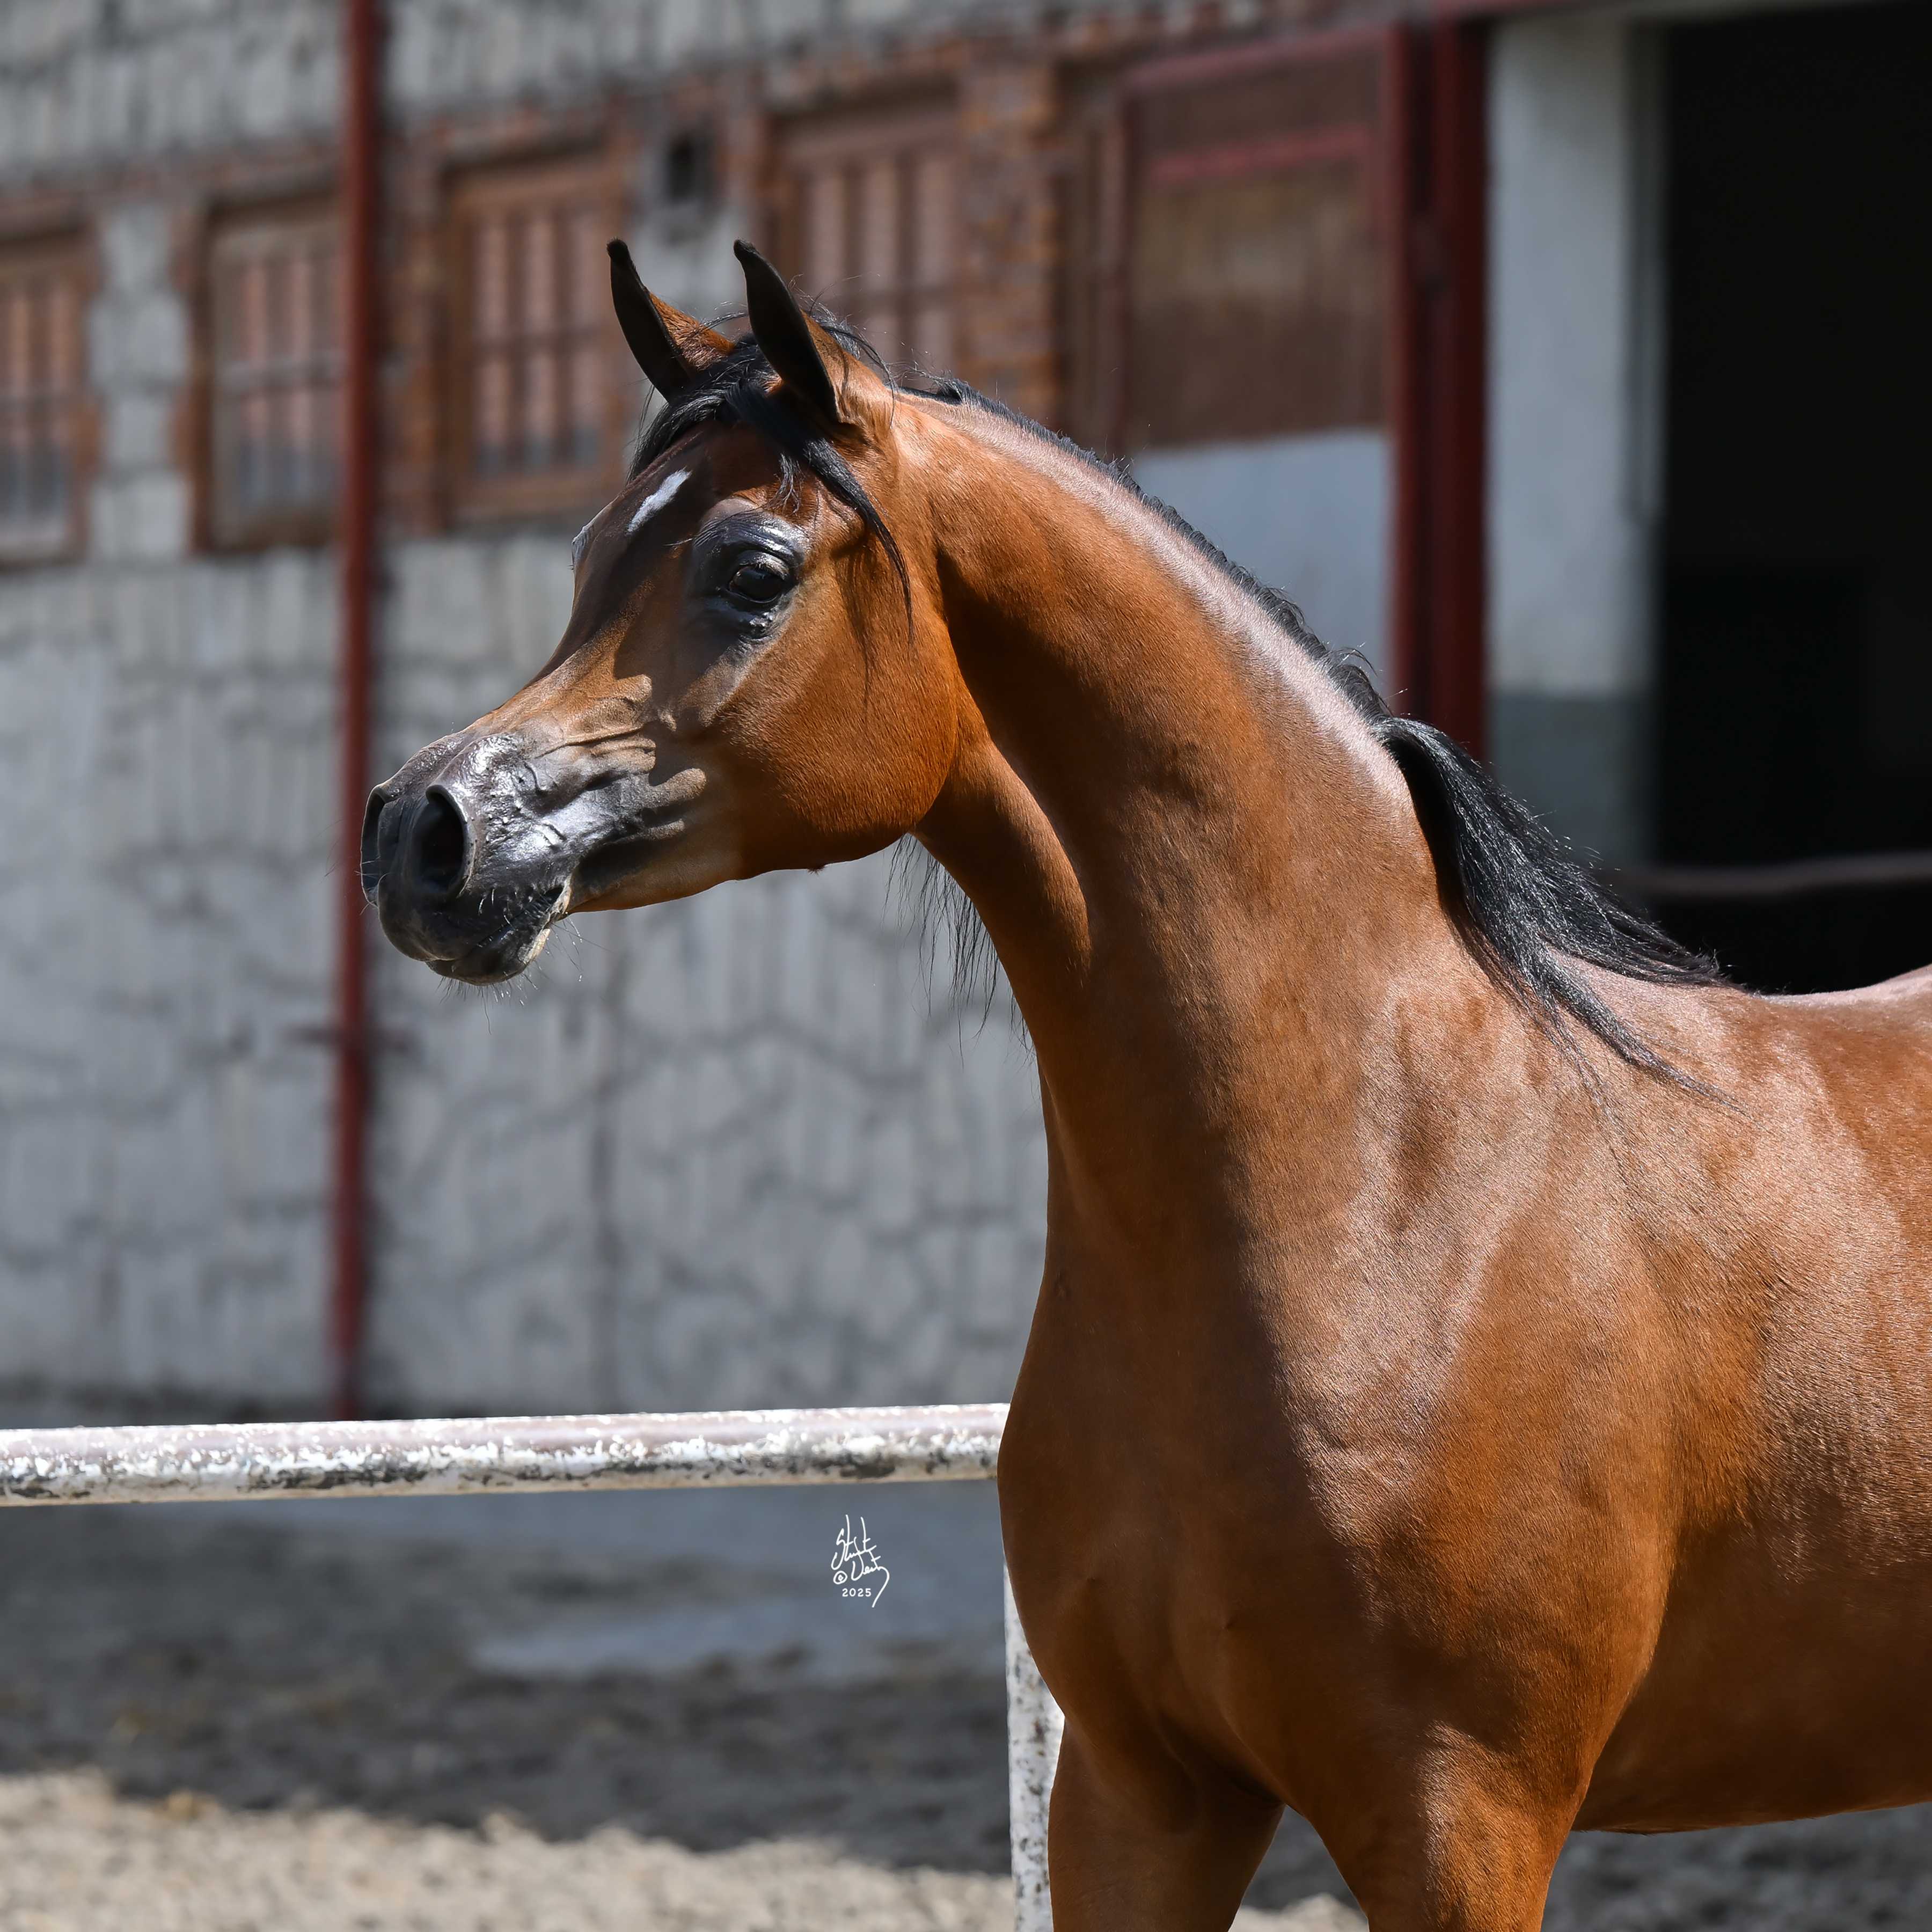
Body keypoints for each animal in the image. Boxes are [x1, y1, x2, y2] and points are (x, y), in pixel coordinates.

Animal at [363, 239, 1932, 1930]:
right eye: (593, 551)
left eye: (754, 572)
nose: (425, 832)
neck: (1387, 1187)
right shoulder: (1141, 1795)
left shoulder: (1461, 1823)